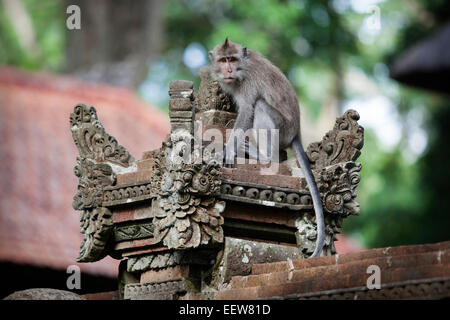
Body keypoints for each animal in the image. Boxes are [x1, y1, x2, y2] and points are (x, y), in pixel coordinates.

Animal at [209, 38, 326, 258]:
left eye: (232, 59)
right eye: (223, 60)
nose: (228, 69)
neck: (243, 68)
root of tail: (296, 133)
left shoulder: (247, 84)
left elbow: (247, 110)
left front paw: (229, 150)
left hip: (282, 129)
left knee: (261, 106)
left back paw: (263, 156)